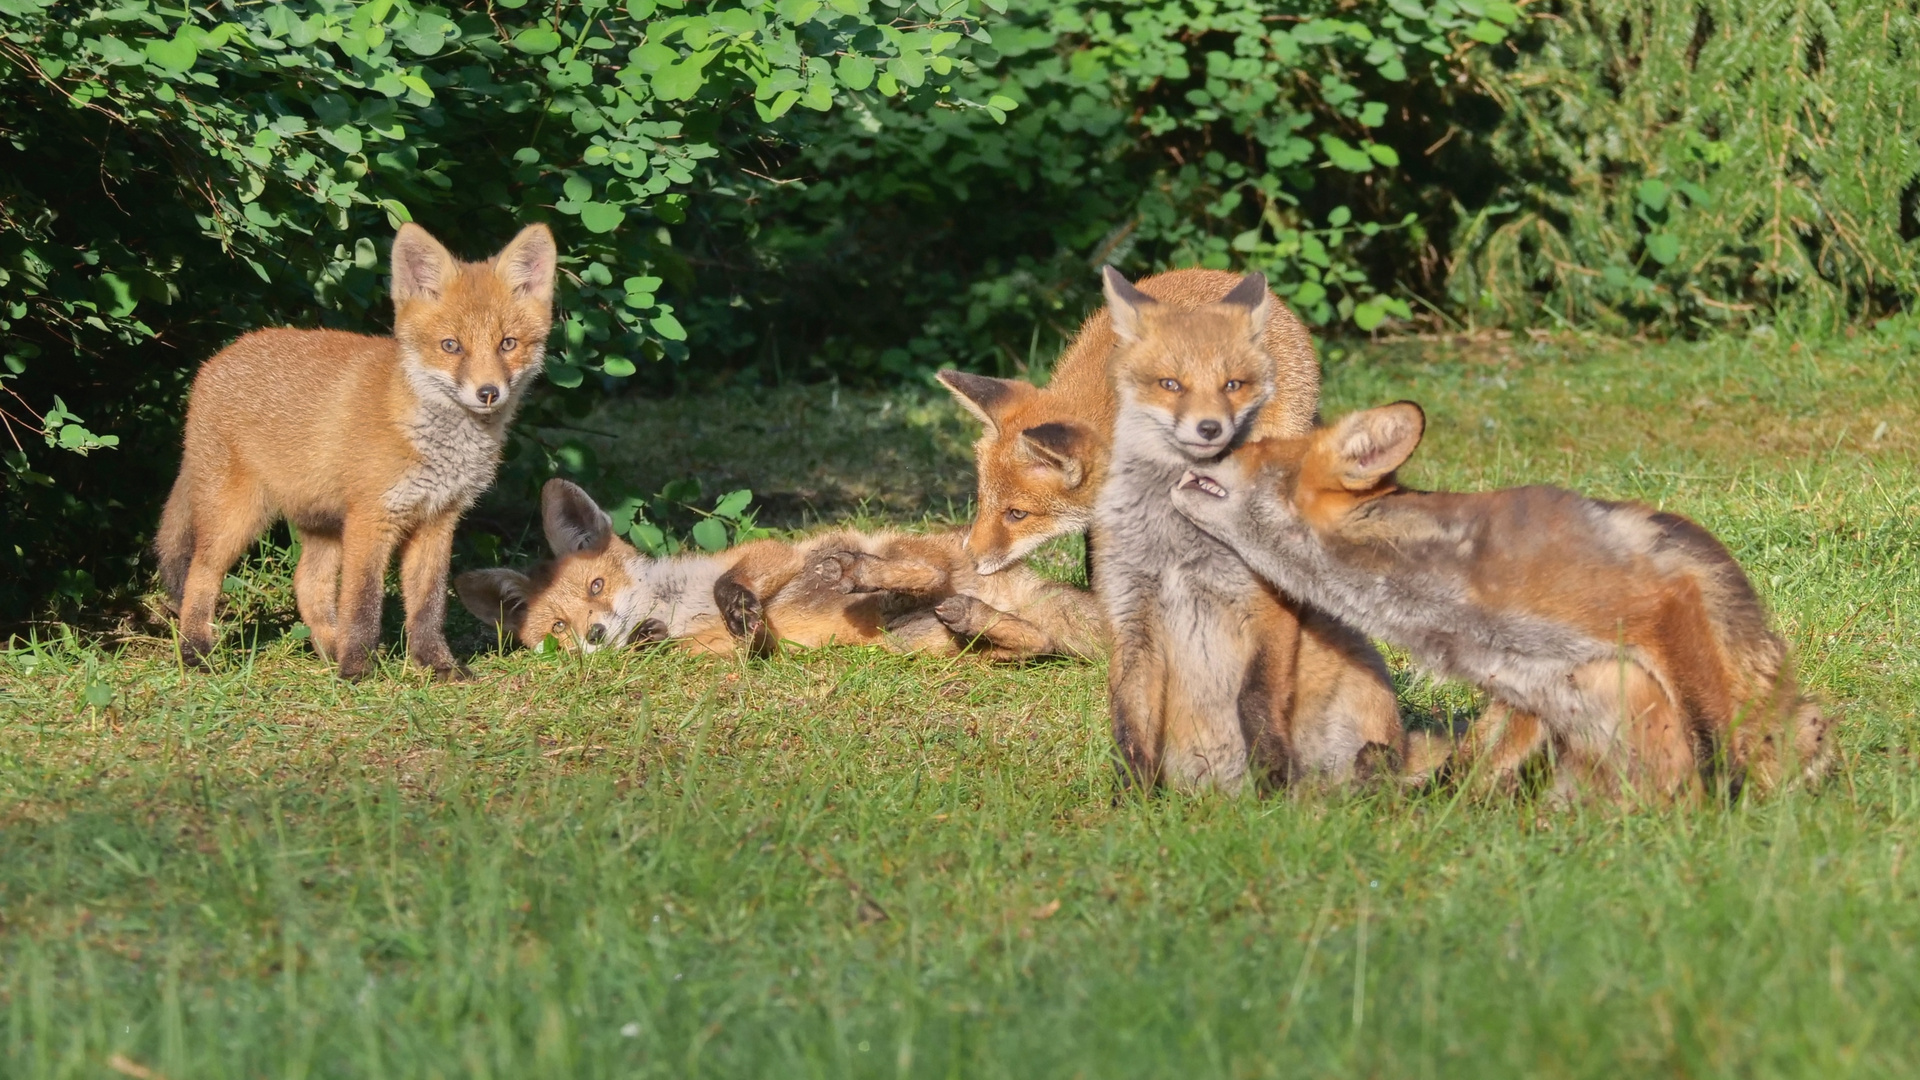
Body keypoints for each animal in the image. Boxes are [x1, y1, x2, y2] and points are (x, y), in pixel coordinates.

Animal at [155, 220, 556, 676]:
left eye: (508, 344)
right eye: (451, 346)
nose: (488, 392)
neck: (437, 446)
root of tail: (214, 360)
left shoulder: (437, 521)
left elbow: (428, 606)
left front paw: (438, 667)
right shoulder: (371, 518)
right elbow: (363, 601)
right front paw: (358, 670)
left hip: (322, 524)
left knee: (307, 584)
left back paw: (329, 649)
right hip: (237, 516)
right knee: (200, 574)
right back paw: (196, 652)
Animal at [455, 476, 1105, 657]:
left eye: (596, 583)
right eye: (558, 628)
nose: (592, 633)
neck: (675, 604)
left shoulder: (774, 553)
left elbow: (733, 580)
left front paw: (738, 604)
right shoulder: (712, 648)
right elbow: (696, 644)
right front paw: (644, 637)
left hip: (895, 554)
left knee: (918, 573)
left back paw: (861, 572)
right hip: (917, 640)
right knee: (1038, 640)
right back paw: (975, 618)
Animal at [1098, 269, 1413, 791]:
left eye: (1233, 384)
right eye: (1170, 384)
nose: (1210, 428)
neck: (1179, 545)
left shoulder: (1268, 605)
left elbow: (1255, 700)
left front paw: (1271, 785)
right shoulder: (1130, 617)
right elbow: (1129, 723)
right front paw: (1135, 799)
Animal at [1159, 399, 1835, 795]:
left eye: (1242, 449)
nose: (1183, 448)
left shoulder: (1663, 601)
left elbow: (1713, 740)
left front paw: (1727, 821)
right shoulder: (1525, 686)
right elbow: (1468, 772)